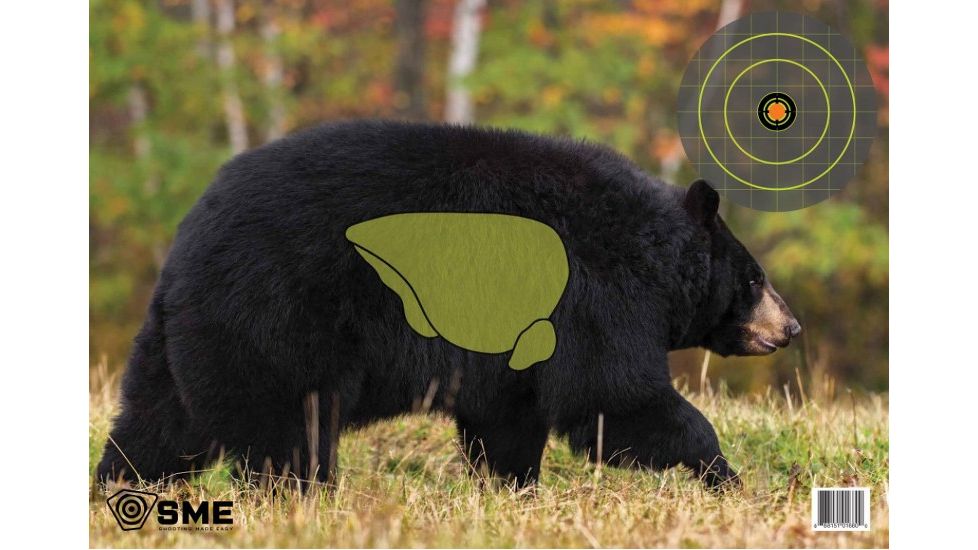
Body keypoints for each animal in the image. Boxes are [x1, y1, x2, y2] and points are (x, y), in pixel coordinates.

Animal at [96, 120, 800, 489]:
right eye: (754, 278)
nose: (790, 326)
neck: (649, 250)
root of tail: (188, 240)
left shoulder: (519, 351)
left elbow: (509, 416)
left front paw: (512, 488)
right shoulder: (596, 297)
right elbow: (612, 395)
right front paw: (723, 474)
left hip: (185, 337)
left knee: (159, 421)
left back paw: (121, 486)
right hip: (277, 315)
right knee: (290, 424)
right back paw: (301, 495)